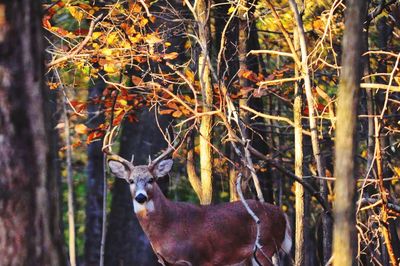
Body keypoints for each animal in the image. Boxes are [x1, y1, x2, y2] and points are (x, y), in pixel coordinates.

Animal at [103, 131, 290, 266]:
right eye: (130, 181)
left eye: (151, 179)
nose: (141, 197)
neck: (165, 229)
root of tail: (283, 214)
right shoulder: (166, 261)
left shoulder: (199, 257)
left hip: (266, 246)